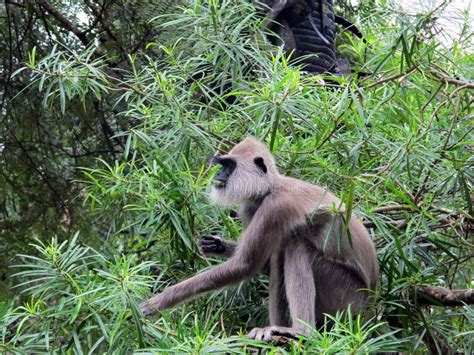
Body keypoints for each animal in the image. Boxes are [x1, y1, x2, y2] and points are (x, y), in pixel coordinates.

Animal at [141, 137, 378, 342]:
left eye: (229, 165)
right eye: (222, 165)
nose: (218, 175)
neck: (271, 187)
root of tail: (372, 304)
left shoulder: (275, 207)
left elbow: (245, 265)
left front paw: (158, 302)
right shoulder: (250, 206)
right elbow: (261, 263)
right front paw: (217, 245)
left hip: (346, 296)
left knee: (297, 247)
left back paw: (301, 332)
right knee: (279, 255)